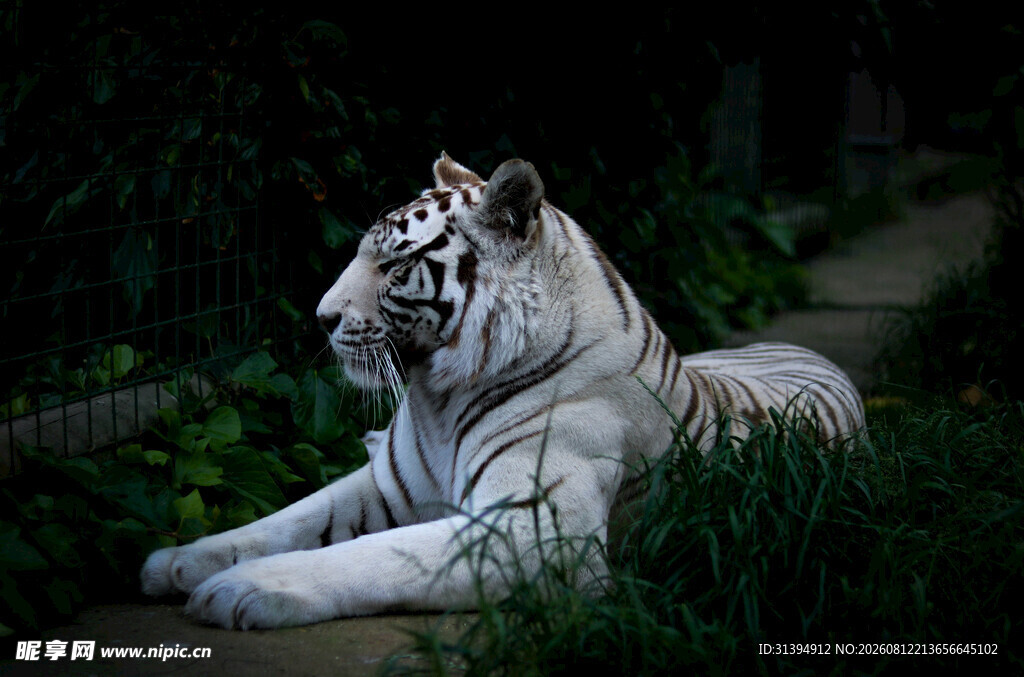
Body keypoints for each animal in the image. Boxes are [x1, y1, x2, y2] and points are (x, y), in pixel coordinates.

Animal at [140, 153, 865, 629]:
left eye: (395, 265)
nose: (320, 317)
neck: (438, 395)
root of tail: (811, 351)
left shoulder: (534, 529)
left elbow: (368, 554)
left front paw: (241, 588)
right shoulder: (388, 485)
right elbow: (287, 518)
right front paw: (177, 561)